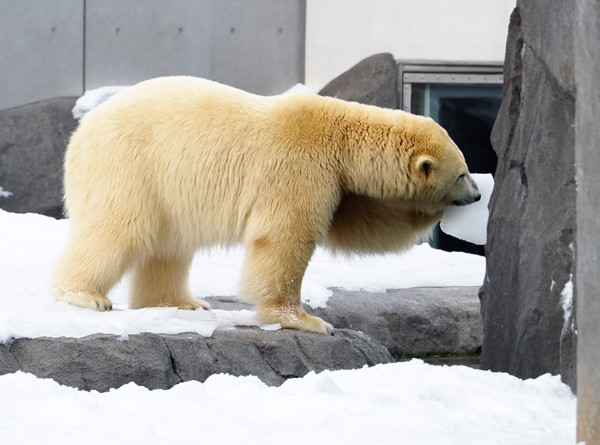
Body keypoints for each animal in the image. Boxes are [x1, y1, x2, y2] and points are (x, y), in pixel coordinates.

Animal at [52, 76, 482, 332]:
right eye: (461, 173)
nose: (477, 195)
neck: (336, 131)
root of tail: (80, 132)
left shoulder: (337, 181)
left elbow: (357, 224)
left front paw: (429, 214)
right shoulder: (299, 165)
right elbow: (285, 239)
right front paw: (304, 320)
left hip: (167, 192)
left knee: (170, 247)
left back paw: (182, 303)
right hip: (129, 167)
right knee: (118, 229)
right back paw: (85, 295)